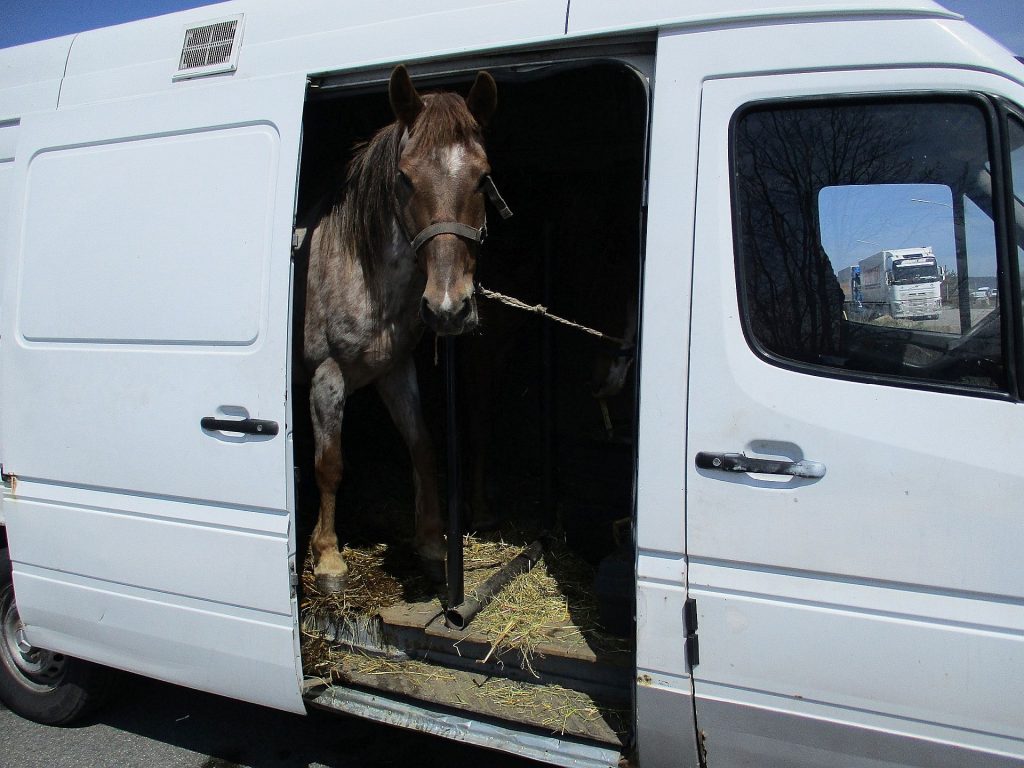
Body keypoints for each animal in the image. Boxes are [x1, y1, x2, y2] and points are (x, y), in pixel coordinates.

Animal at [301, 67, 497, 593]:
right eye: (405, 179)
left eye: (483, 176)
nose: (448, 307)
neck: (360, 272)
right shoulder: (326, 377)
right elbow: (330, 464)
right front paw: (328, 558)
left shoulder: (395, 370)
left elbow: (423, 447)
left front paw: (431, 543)